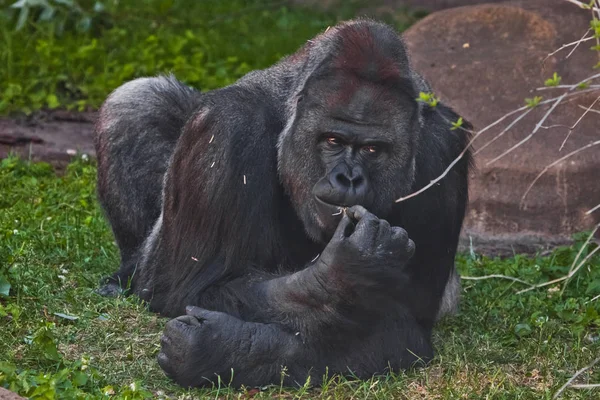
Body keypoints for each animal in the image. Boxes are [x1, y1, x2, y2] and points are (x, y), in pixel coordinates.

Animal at [94, 18, 472, 388]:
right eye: (332, 140)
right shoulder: (223, 127)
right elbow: (187, 287)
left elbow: (405, 328)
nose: (348, 178)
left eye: (372, 149)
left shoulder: (443, 148)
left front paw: (230, 349)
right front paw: (334, 278)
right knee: (137, 102)